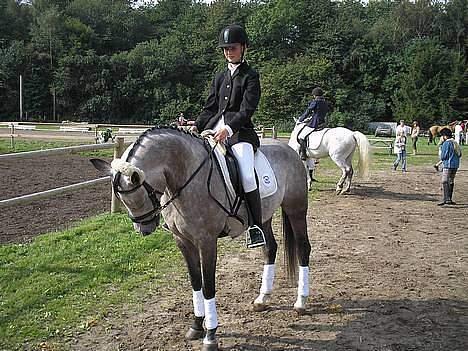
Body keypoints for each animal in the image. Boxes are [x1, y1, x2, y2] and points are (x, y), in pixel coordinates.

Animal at [91, 127, 310, 351]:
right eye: (120, 199)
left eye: (138, 197)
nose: (143, 229)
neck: (186, 176)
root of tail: (289, 149)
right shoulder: (183, 241)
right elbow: (195, 282)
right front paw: (196, 326)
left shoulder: (206, 242)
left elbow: (208, 286)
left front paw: (210, 335)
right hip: (264, 217)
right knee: (270, 249)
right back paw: (262, 299)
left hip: (296, 208)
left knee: (303, 248)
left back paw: (300, 302)